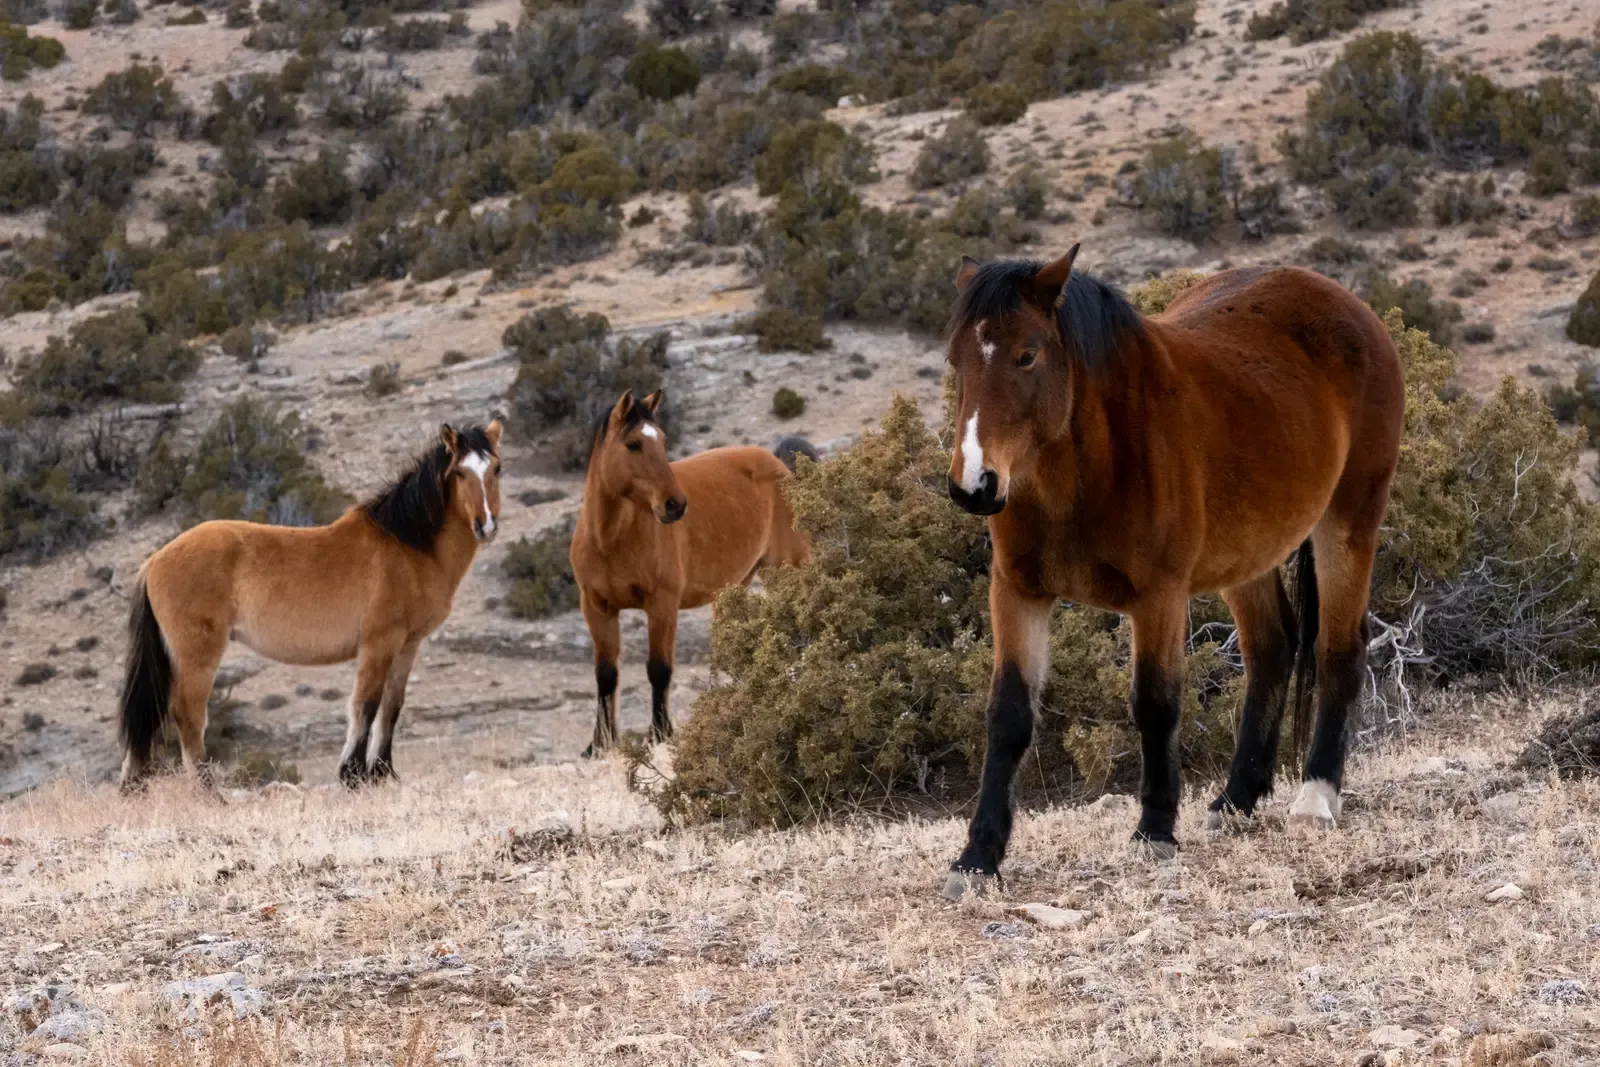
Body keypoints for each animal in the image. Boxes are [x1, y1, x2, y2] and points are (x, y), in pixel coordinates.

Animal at [119, 418, 504, 792]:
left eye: (497, 468)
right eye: (459, 473)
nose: (486, 526)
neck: (408, 545)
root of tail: (155, 561)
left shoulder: (408, 645)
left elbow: (391, 707)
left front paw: (383, 774)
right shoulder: (379, 643)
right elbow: (365, 705)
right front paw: (354, 776)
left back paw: (133, 788)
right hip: (197, 655)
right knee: (188, 714)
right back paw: (210, 795)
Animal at [570, 389, 813, 756]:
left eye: (663, 440)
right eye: (633, 444)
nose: (675, 505)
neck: (611, 539)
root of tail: (779, 463)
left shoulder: (662, 603)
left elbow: (659, 670)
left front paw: (661, 734)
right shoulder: (597, 606)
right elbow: (606, 675)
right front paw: (598, 745)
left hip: (788, 569)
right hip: (735, 587)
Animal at [940, 247, 1404, 900]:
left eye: (1026, 354)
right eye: (955, 360)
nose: (974, 486)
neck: (1085, 472)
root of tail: (1349, 306)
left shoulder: (1158, 596)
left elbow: (1155, 703)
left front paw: (1154, 832)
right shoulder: (1018, 593)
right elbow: (1008, 715)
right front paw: (978, 858)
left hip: (1349, 523)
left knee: (1338, 649)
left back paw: (1315, 798)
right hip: (1248, 552)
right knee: (1272, 649)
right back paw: (1235, 800)